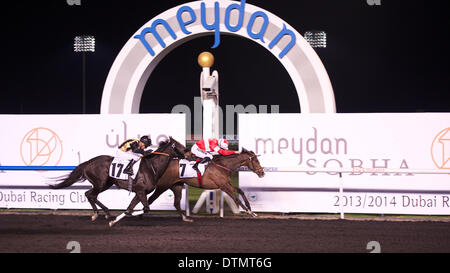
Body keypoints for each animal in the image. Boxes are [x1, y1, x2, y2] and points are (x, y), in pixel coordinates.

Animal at [47, 136, 185, 221]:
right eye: (180, 146)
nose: (188, 152)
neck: (151, 167)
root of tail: (88, 163)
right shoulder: (141, 190)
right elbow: (144, 209)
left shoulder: (140, 192)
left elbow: (132, 207)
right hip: (100, 183)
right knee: (90, 194)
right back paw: (101, 213)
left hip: (105, 184)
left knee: (90, 194)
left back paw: (103, 213)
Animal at [121, 148, 266, 222]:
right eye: (256, 160)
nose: (262, 173)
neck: (223, 165)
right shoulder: (223, 186)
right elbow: (236, 198)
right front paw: (250, 213)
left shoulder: (227, 183)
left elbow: (240, 191)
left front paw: (251, 210)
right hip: (163, 186)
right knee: (150, 199)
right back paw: (140, 213)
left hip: (177, 185)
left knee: (175, 203)